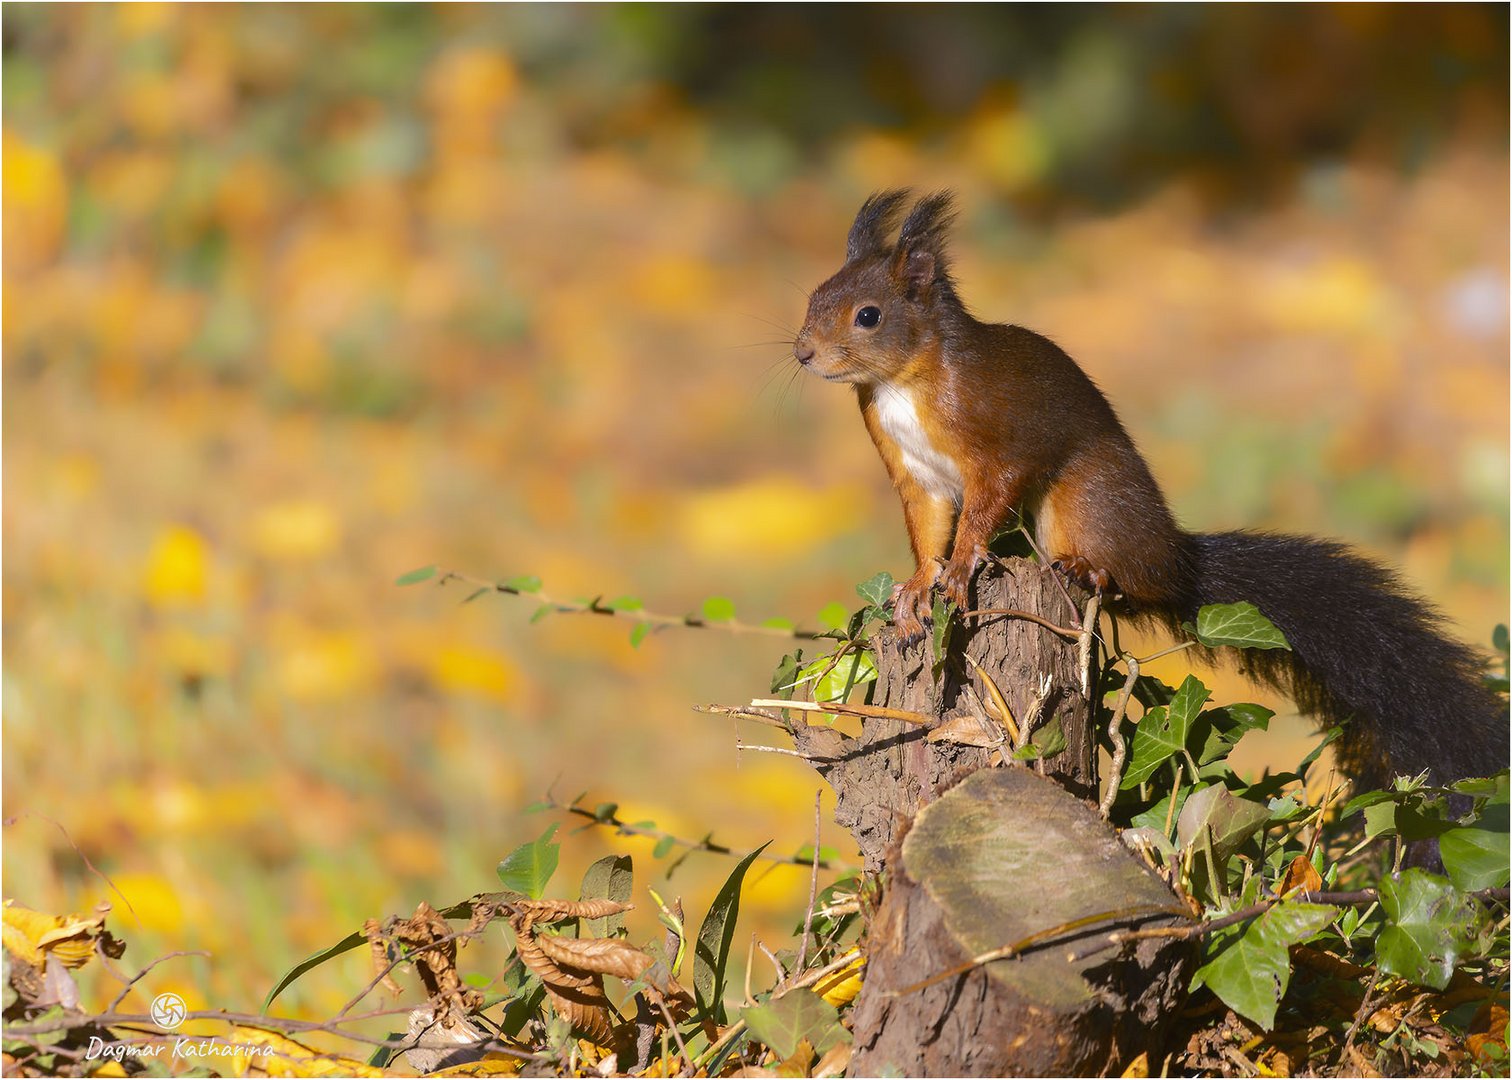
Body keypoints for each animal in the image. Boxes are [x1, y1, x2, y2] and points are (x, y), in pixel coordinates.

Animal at [798, 189, 1505, 786]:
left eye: (868, 316)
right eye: (813, 298)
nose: (803, 354)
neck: (902, 382)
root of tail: (1179, 559)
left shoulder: (998, 441)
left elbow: (987, 498)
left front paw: (964, 564)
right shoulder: (913, 474)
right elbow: (927, 528)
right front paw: (918, 587)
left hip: (1089, 499)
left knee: (1128, 579)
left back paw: (1086, 569)